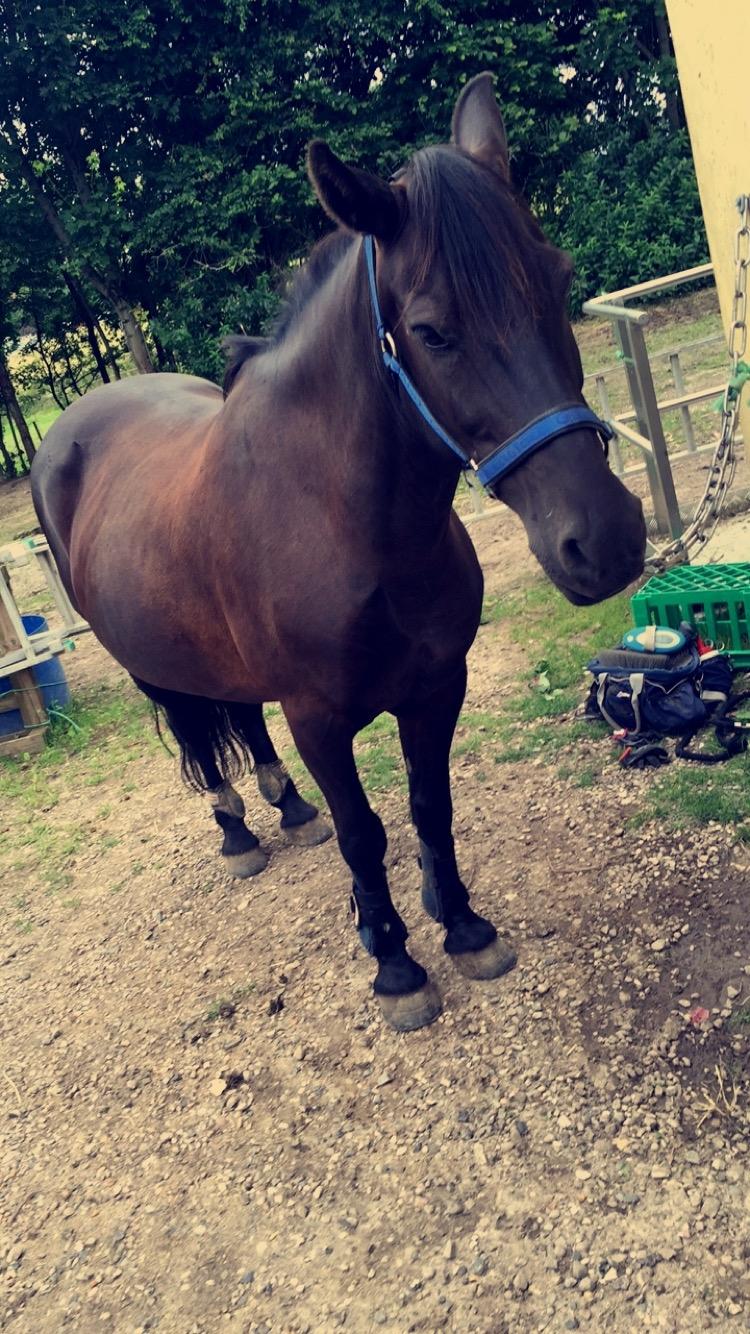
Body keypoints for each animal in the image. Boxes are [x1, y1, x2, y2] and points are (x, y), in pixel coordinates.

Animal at [31, 73, 646, 1031]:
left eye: (561, 280)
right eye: (431, 331)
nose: (605, 539)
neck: (349, 532)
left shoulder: (437, 686)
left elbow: (430, 806)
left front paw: (462, 926)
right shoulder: (318, 717)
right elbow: (366, 832)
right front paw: (395, 964)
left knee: (239, 718)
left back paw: (286, 808)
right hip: (150, 667)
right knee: (198, 734)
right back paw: (238, 828)